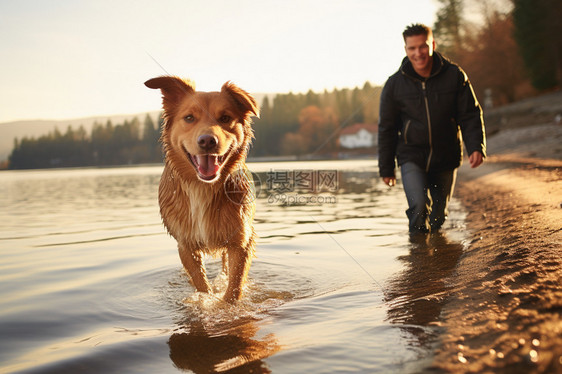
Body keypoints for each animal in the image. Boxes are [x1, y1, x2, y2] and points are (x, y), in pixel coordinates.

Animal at [144, 75, 258, 300]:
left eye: (225, 118)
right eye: (189, 118)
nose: (207, 141)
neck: (203, 187)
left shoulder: (240, 240)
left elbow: (234, 287)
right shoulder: (185, 244)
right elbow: (201, 285)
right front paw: (206, 299)